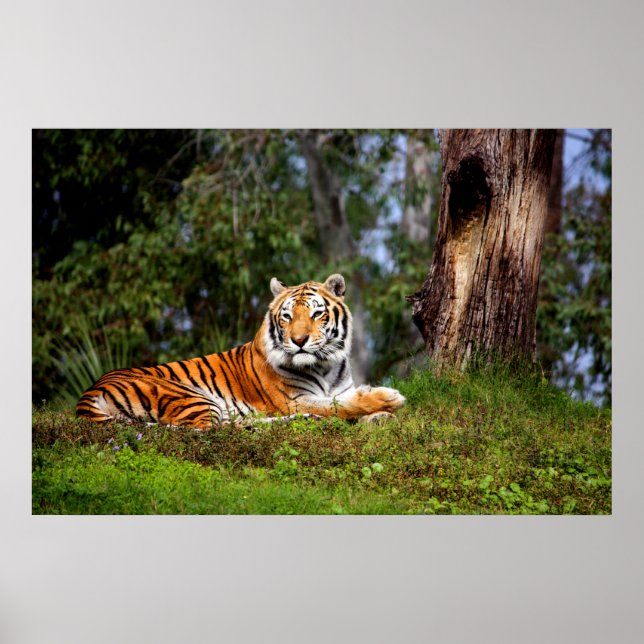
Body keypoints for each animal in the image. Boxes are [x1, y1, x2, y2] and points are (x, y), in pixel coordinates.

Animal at [76, 273, 406, 429]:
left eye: (316, 314)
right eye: (287, 317)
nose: (298, 340)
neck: (325, 365)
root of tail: (89, 391)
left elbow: (347, 402)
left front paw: (379, 416)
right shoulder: (295, 400)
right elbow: (340, 406)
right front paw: (388, 399)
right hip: (191, 397)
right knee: (213, 432)